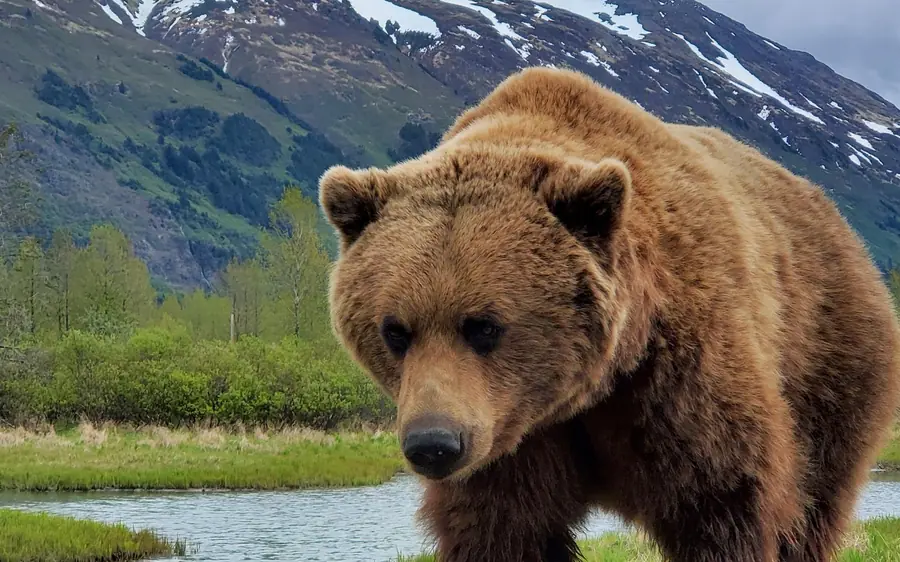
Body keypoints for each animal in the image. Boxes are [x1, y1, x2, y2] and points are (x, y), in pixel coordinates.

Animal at [318, 66, 900, 562]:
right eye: (395, 331)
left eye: (484, 326)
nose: (433, 445)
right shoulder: (508, 439)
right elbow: (503, 525)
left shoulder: (678, 377)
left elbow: (725, 499)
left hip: (828, 361)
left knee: (813, 502)